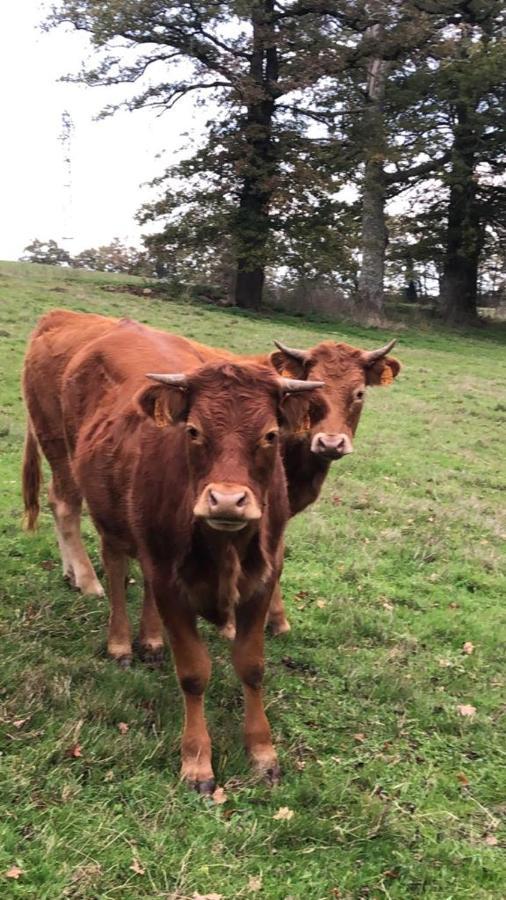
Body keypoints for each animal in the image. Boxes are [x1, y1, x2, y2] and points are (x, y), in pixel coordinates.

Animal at [22, 314, 324, 788]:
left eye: (271, 434)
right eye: (194, 430)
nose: (226, 501)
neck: (224, 545)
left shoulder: (262, 577)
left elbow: (252, 666)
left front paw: (262, 751)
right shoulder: (170, 581)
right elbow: (194, 672)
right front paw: (197, 759)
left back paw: (150, 640)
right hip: (97, 501)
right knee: (114, 566)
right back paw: (121, 642)